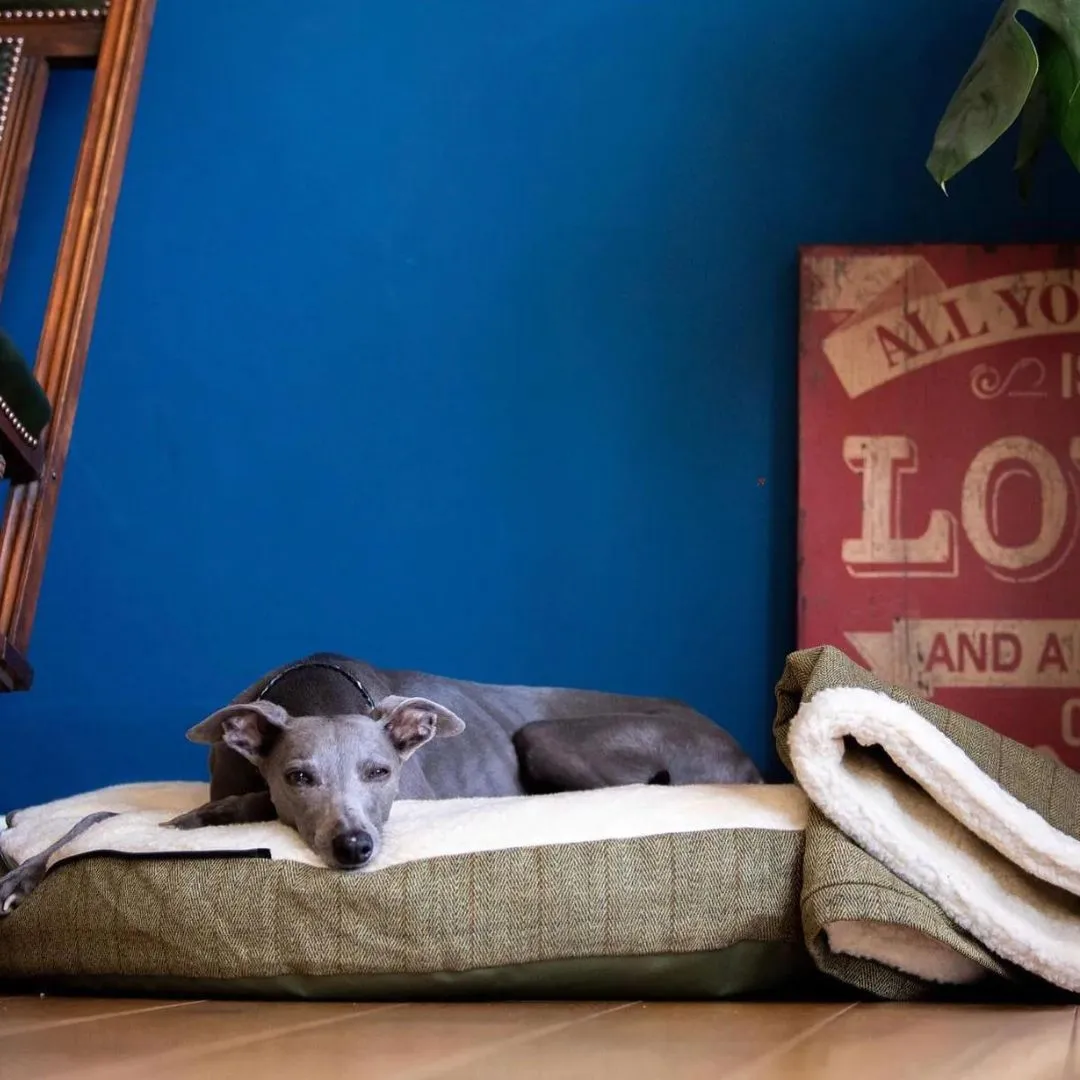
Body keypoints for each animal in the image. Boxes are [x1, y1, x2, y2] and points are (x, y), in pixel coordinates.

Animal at [2, 648, 760, 911]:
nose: (355, 847)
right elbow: (98, 819)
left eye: (381, 772)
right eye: (299, 775)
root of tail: (742, 752)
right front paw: (20, 874)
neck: (313, 688)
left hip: (544, 735)